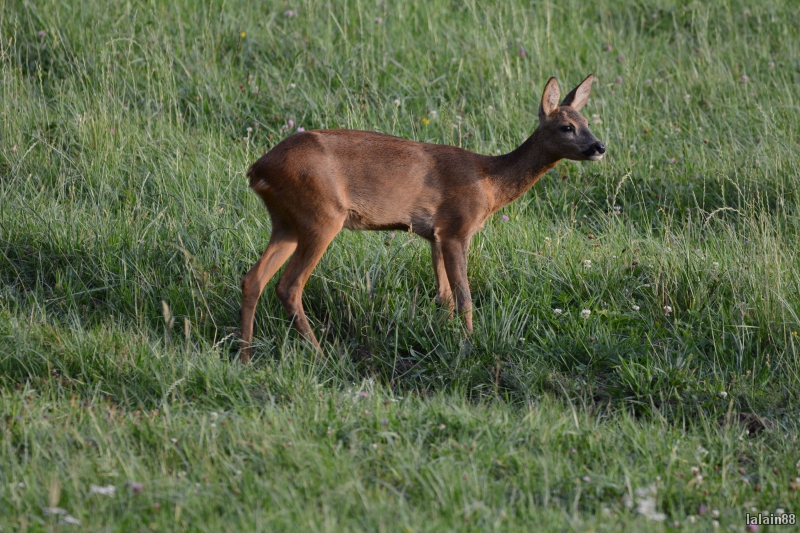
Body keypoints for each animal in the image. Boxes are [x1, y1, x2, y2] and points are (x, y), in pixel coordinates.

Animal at [241, 74, 604, 362]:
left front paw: (445, 338)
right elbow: (464, 297)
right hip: (321, 216)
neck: (489, 182)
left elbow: (444, 296)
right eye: (567, 127)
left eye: (587, 122)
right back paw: (319, 355)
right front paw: (469, 344)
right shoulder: (457, 228)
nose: (599, 147)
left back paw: (245, 356)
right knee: (289, 286)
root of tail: (258, 169)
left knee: (253, 278)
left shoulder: (434, 234)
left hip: (286, 222)